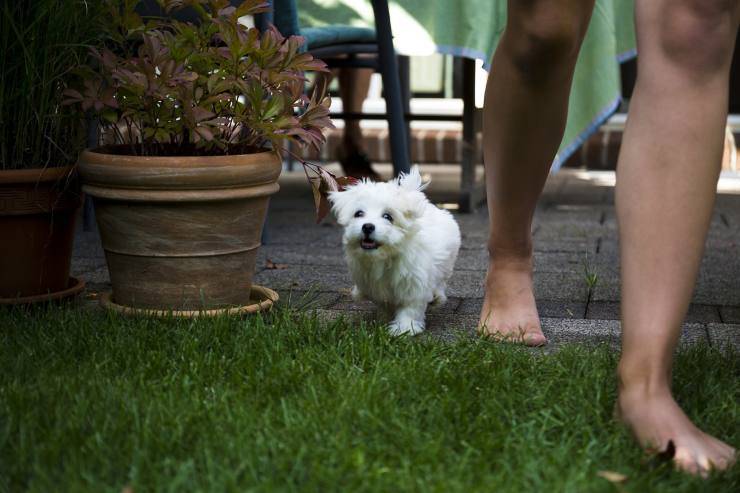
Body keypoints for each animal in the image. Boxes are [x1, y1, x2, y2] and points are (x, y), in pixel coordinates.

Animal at [328, 165, 460, 334]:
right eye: (358, 213)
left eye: (388, 216)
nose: (367, 226)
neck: (385, 256)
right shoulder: (375, 286)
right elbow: (385, 303)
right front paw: (385, 319)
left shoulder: (414, 283)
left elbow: (411, 307)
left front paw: (404, 328)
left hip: (446, 264)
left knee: (440, 281)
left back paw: (437, 297)